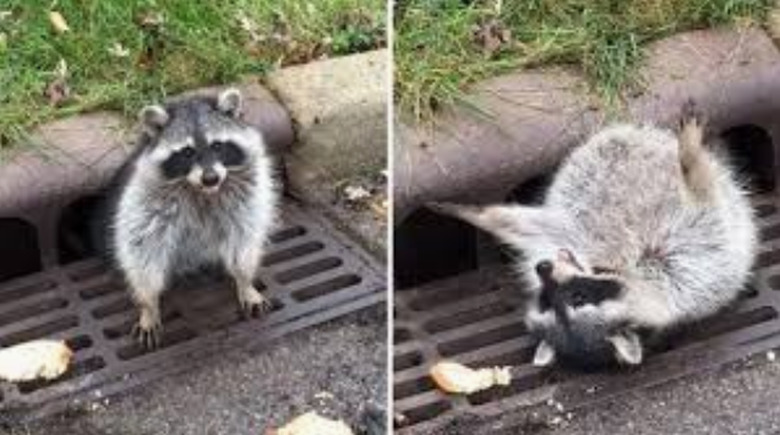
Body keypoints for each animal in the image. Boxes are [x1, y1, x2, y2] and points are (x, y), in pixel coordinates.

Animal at [100, 87, 278, 348]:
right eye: (187, 152)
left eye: (217, 146)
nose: (211, 178)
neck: (201, 191)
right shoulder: (144, 201)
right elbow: (142, 251)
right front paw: (148, 305)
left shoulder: (245, 198)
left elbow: (242, 239)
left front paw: (245, 282)